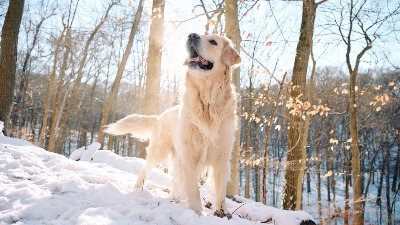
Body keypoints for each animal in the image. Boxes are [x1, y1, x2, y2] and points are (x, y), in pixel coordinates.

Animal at [104, 33, 241, 216]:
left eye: (213, 41)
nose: (192, 35)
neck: (207, 100)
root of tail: (160, 116)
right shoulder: (189, 154)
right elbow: (193, 188)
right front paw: (197, 212)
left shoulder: (221, 156)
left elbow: (220, 191)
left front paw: (222, 213)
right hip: (159, 151)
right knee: (144, 169)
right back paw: (138, 188)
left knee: (174, 179)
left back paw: (175, 197)